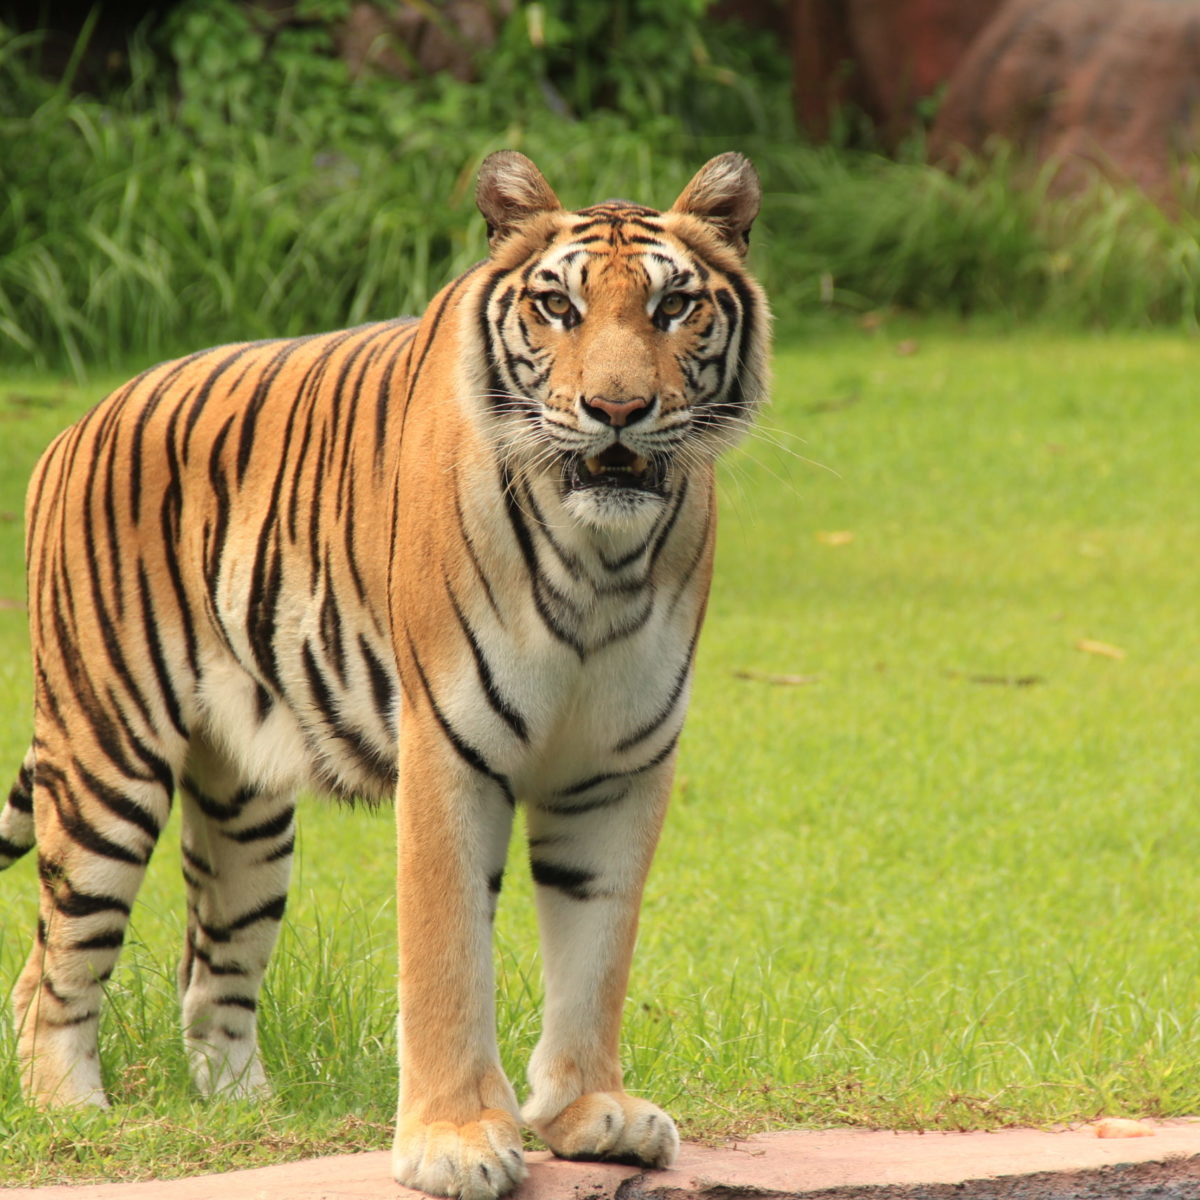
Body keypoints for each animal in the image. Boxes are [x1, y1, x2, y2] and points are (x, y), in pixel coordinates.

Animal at [0, 152, 768, 1200]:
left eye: (674, 306)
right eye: (557, 308)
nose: (617, 411)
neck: (602, 558)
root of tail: (76, 425)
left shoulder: (619, 766)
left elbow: (598, 949)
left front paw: (589, 1113)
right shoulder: (452, 750)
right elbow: (449, 957)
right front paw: (455, 1141)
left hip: (246, 814)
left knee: (209, 975)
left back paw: (248, 1112)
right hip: (106, 759)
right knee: (50, 969)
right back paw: (75, 1113)